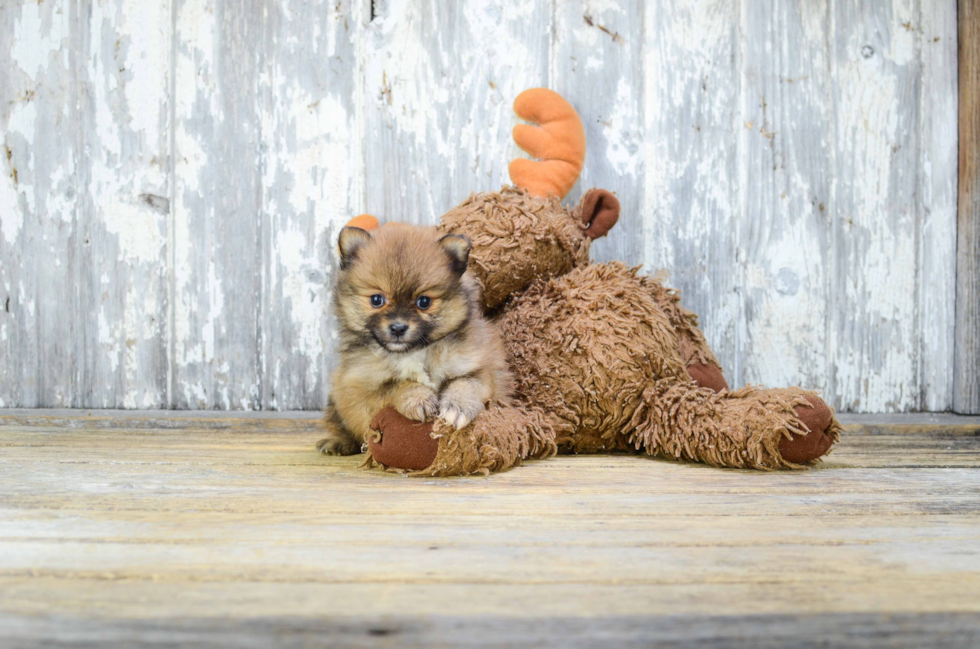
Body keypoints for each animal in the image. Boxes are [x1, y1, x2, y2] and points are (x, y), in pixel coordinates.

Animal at [318, 223, 512, 456]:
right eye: (376, 299)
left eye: (424, 302)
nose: (398, 327)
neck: (414, 351)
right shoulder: (361, 388)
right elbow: (397, 384)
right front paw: (419, 399)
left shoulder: (480, 367)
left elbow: (465, 384)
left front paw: (457, 407)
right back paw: (338, 442)